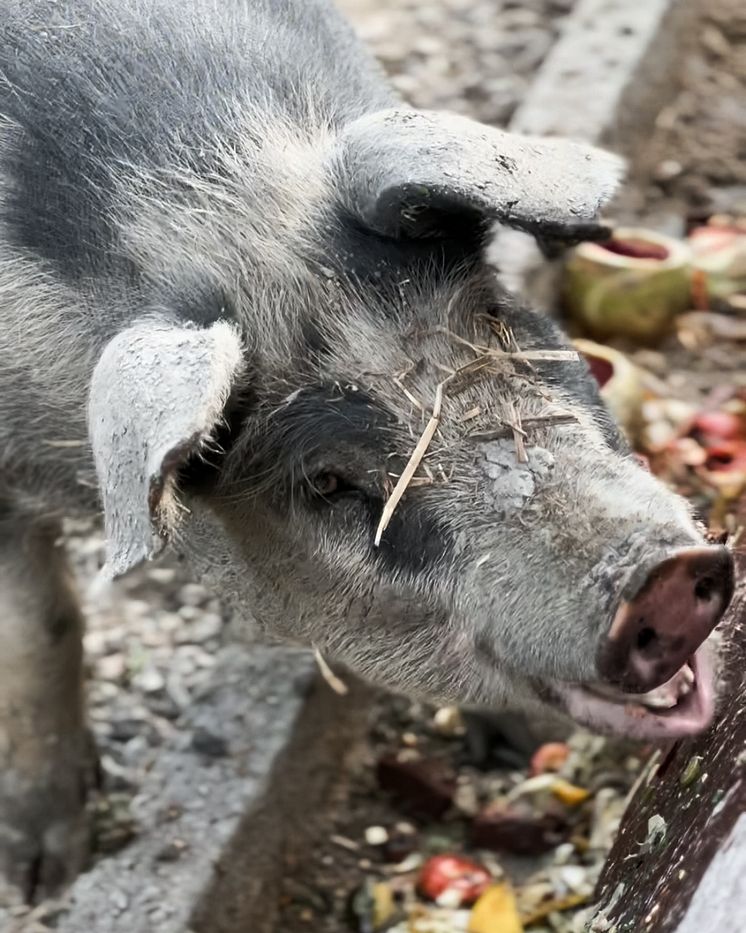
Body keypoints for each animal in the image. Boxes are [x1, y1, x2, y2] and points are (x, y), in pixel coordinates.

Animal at [0, 0, 732, 900]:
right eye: (327, 480)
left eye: (495, 319)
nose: (660, 573)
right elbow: (40, 626)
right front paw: (43, 877)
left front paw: (529, 745)